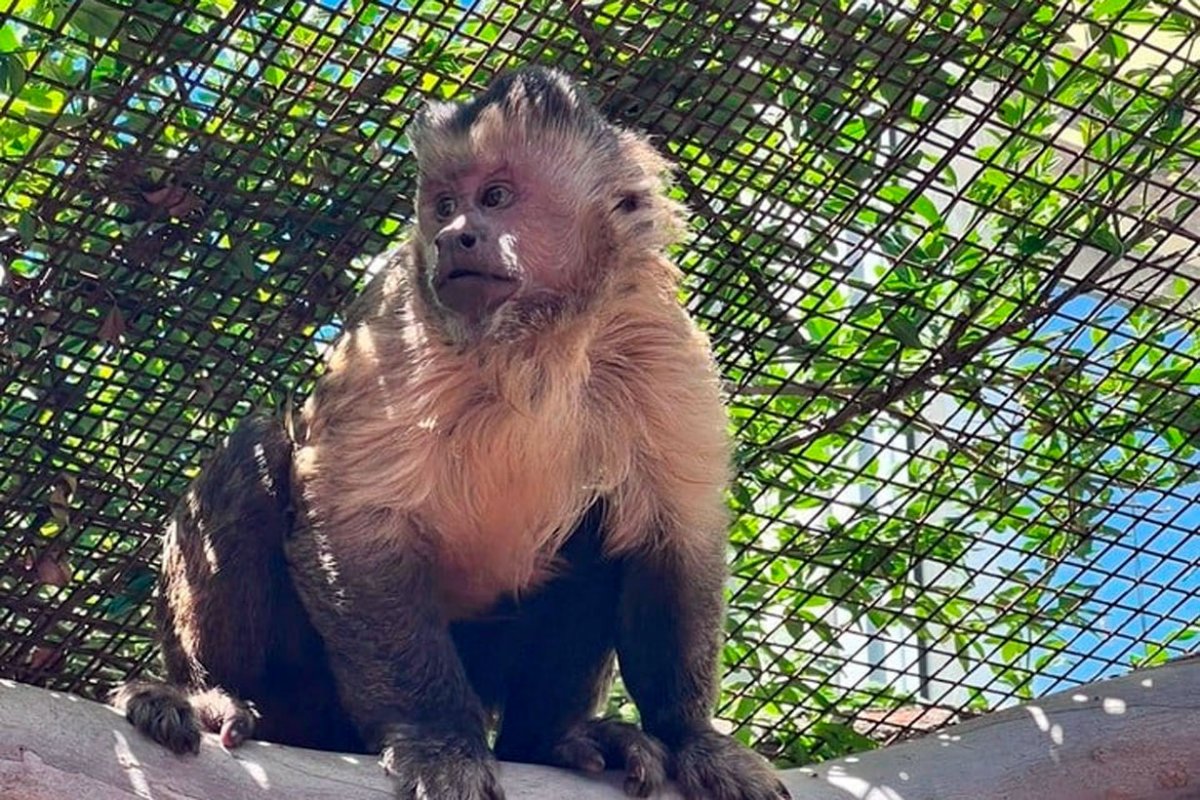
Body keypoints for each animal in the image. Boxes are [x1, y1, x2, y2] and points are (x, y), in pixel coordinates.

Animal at [114, 67, 790, 800]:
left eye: (495, 198)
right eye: (443, 207)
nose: (454, 237)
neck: (537, 339)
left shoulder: (660, 340)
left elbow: (674, 534)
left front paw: (691, 734)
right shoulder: (398, 315)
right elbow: (353, 517)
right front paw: (438, 736)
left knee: (598, 523)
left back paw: (550, 741)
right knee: (259, 450)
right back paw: (209, 695)